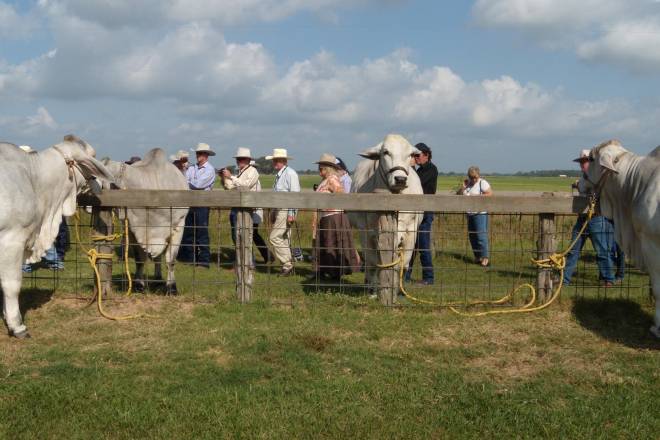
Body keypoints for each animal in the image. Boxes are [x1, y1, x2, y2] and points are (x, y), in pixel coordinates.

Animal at [102, 148, 188, 294]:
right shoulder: (133, 229)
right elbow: (140, 259)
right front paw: (139, 285)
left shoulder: (179, 225)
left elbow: (170, 260)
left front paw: (172, 287)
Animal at [348, 134, 423, 294]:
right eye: (386, 152)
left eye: (410, 154)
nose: (400, 179)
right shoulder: (366, 232)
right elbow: (372, 263)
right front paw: (372, 290)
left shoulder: (411, 232)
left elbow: (403, 264)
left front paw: (397, 289)